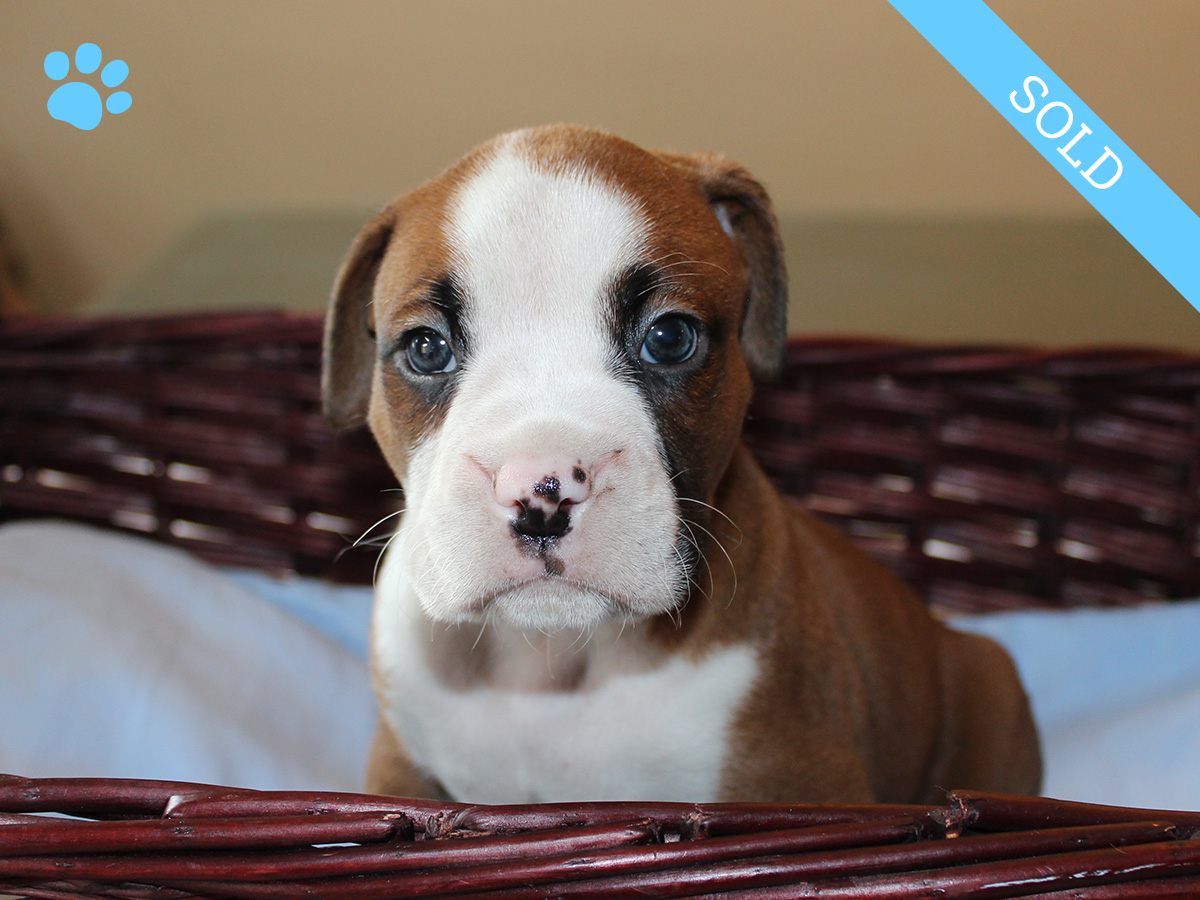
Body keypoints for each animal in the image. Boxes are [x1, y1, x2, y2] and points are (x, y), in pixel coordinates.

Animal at [321, 125, 1041, 801]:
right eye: (426, 348)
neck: (557, 661)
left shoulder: (805, 783)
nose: (543, 490)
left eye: (669, 338)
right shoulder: (401, 767)